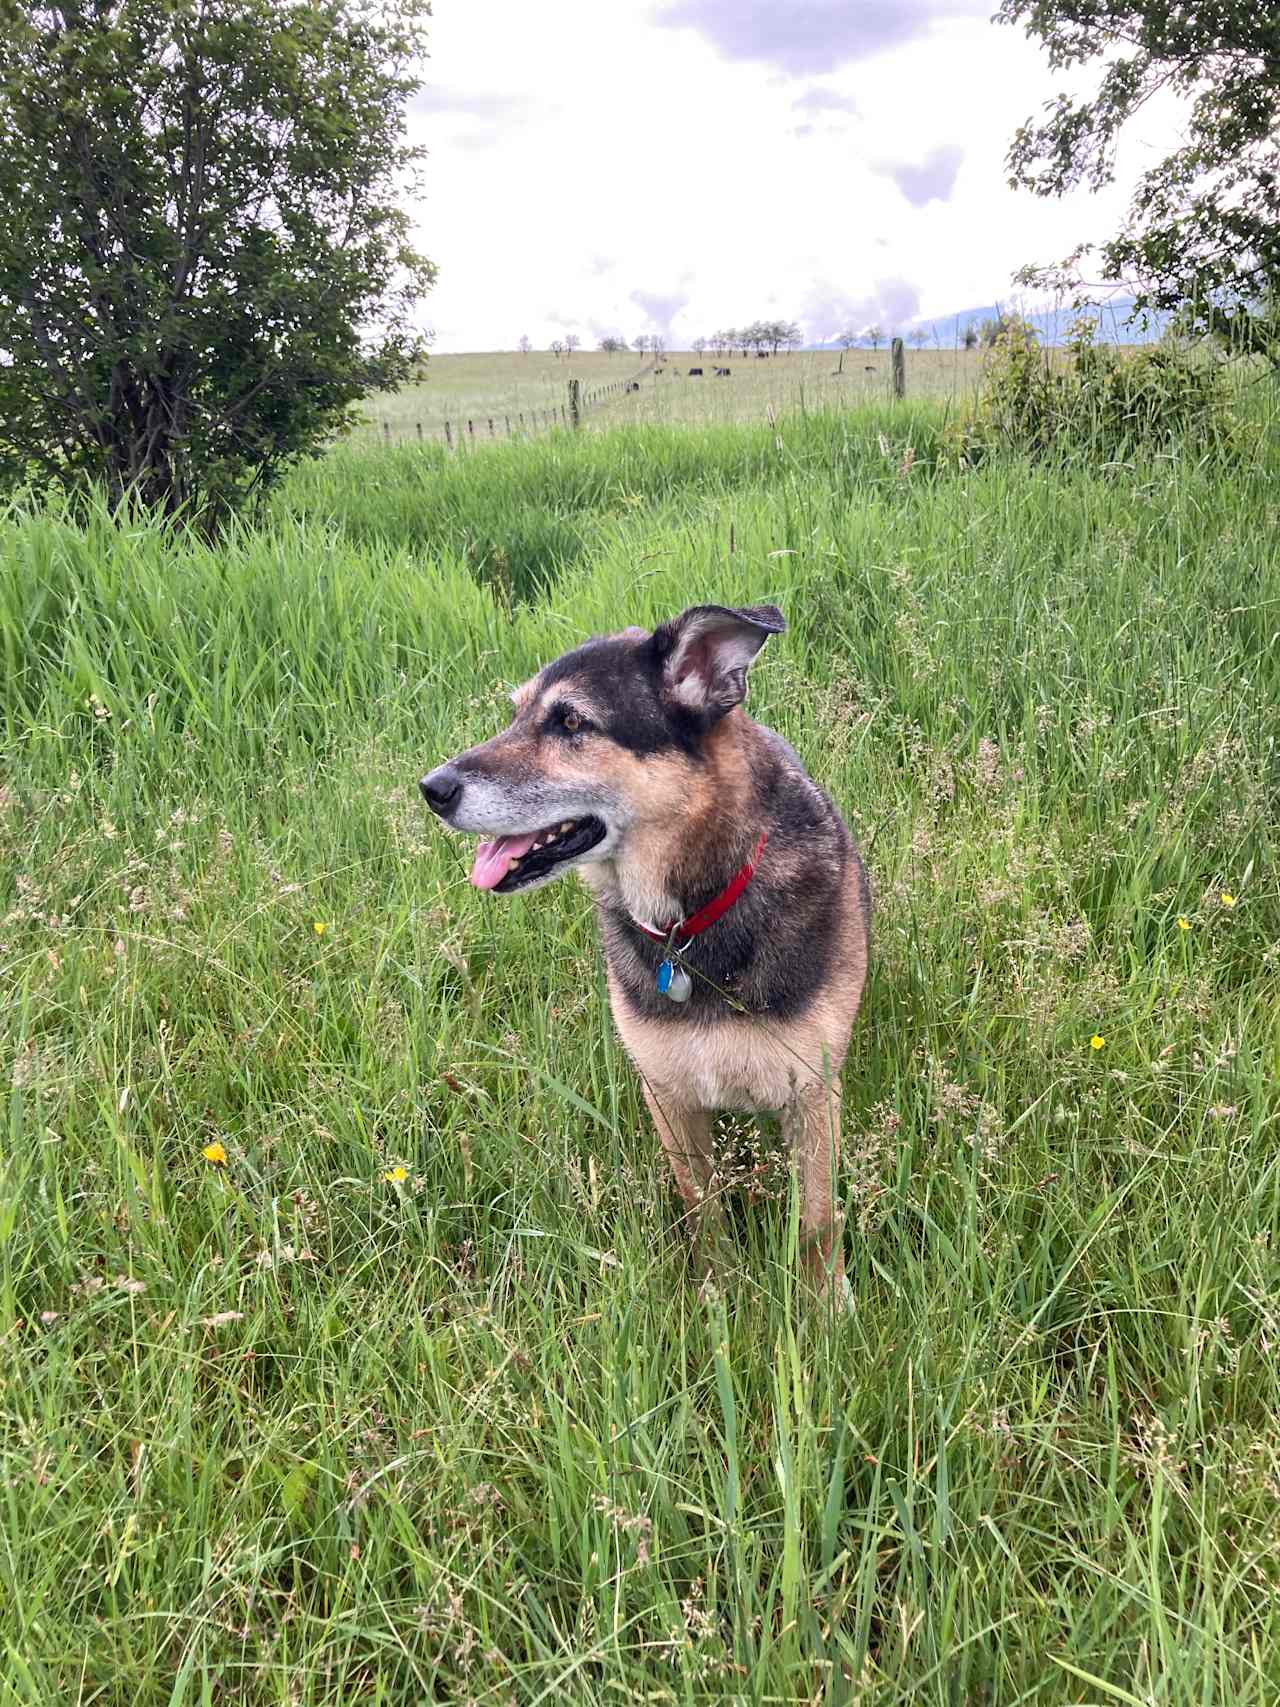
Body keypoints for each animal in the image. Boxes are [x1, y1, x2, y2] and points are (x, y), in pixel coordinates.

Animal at [421, 604, 873, 1290]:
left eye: (571, 721)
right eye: (517, 713)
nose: (432, 788)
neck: (694, 917)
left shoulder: (812, 1096)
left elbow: (817, 1227)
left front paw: (824, 1305)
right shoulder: (669, 1098)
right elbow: (702, 1211)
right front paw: (718, 1291)